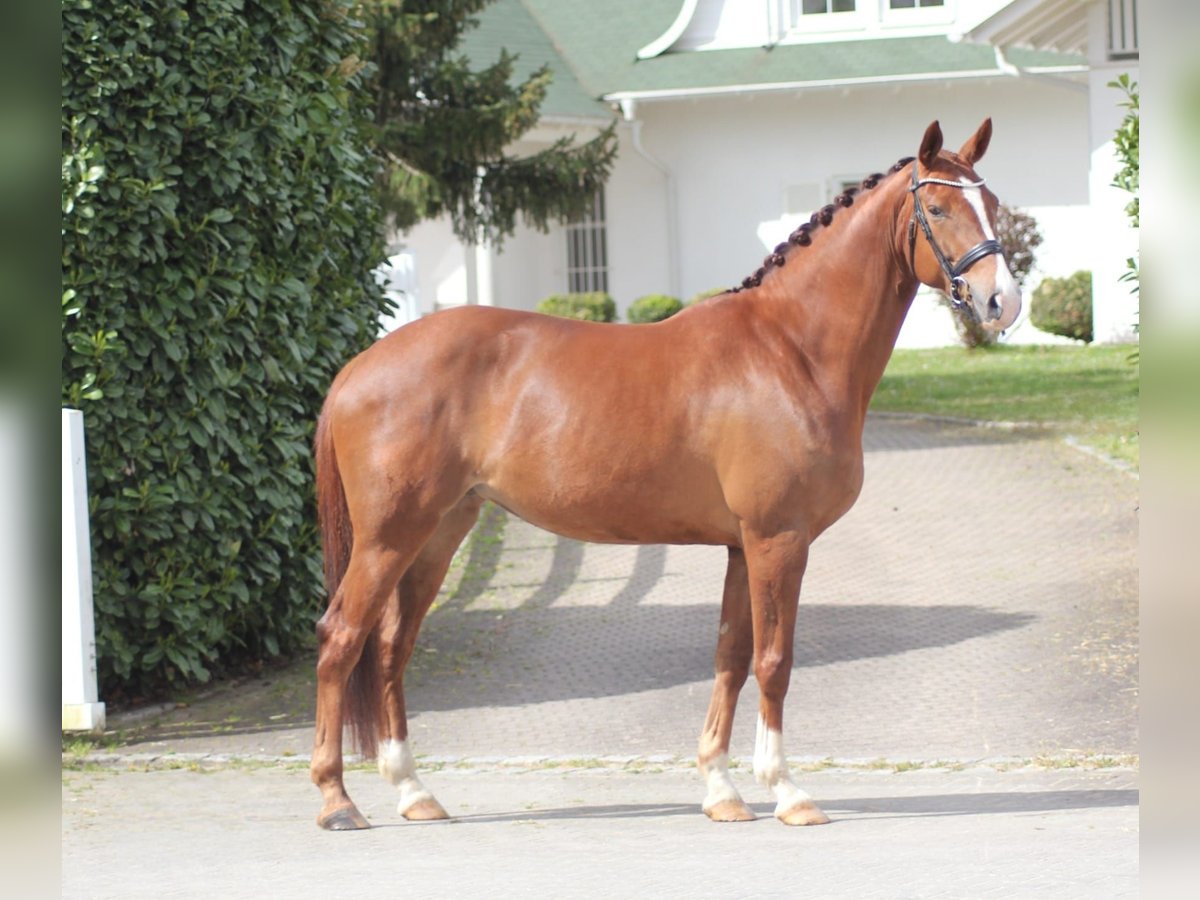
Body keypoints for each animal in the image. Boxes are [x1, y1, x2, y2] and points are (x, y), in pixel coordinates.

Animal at [312, 121, 1022, 830]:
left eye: (993, 204)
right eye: (938, 209)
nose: (1003, 301)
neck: (792, 349)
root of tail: (357, 368)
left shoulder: (742, 546)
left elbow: (731, 657)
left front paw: (722, 790)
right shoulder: (778, 539)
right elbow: (774, 660)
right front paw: (787, 792)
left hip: (439, 532)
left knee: (391, 647)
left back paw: (414, 792)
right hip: (389, 538)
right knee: (341, 636)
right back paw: (337, 798)